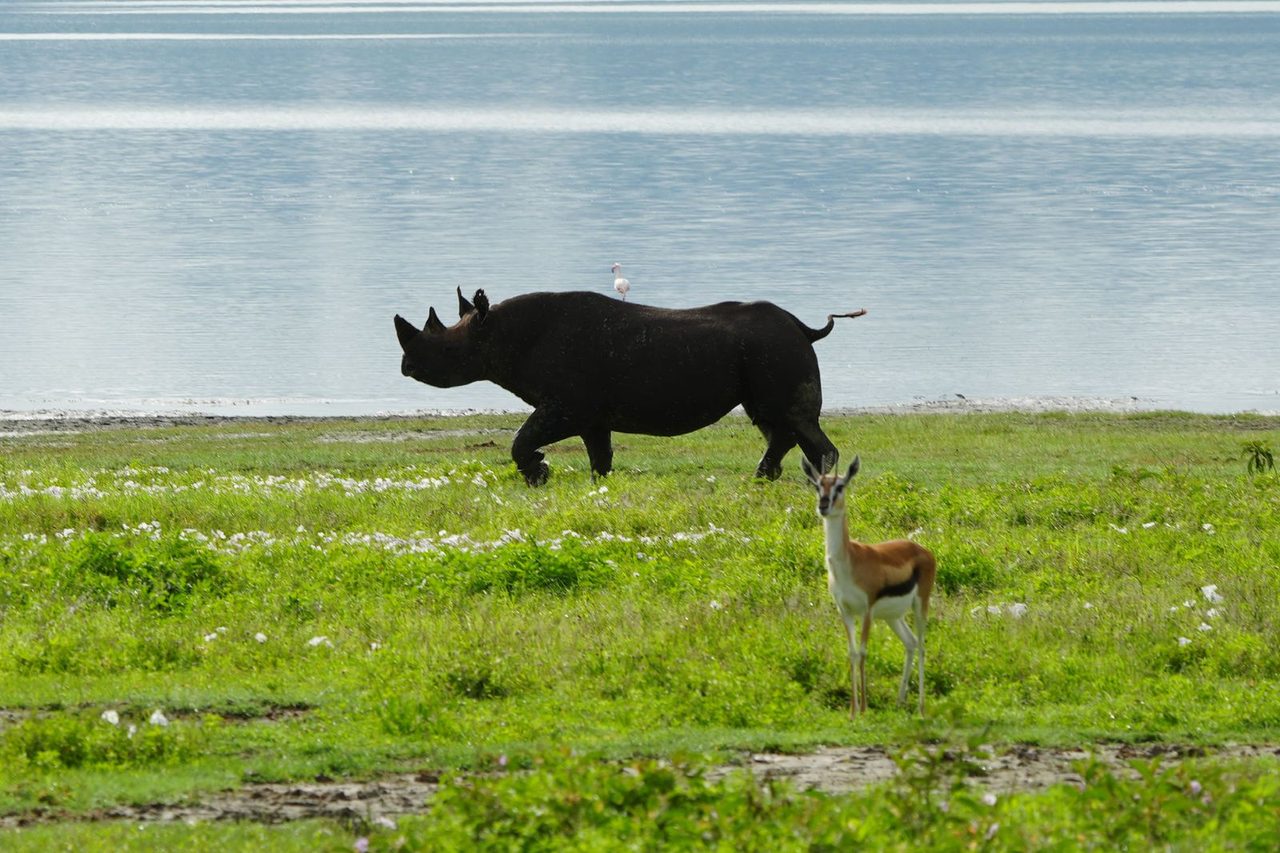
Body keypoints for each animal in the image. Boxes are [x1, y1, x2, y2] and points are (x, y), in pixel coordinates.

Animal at [394, 288, 864, 486]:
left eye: (446, 352)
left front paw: (539, 475)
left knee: (793, 420)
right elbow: (599, 453)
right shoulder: (588, 413)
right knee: (772, 421)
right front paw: (597, 483)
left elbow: (521, 439)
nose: (406, 367)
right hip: (766, 352)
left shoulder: (566, 405)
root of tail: (801, 327)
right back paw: (766, 477)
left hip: (774, 348)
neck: (497, 333)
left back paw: (820, 483)